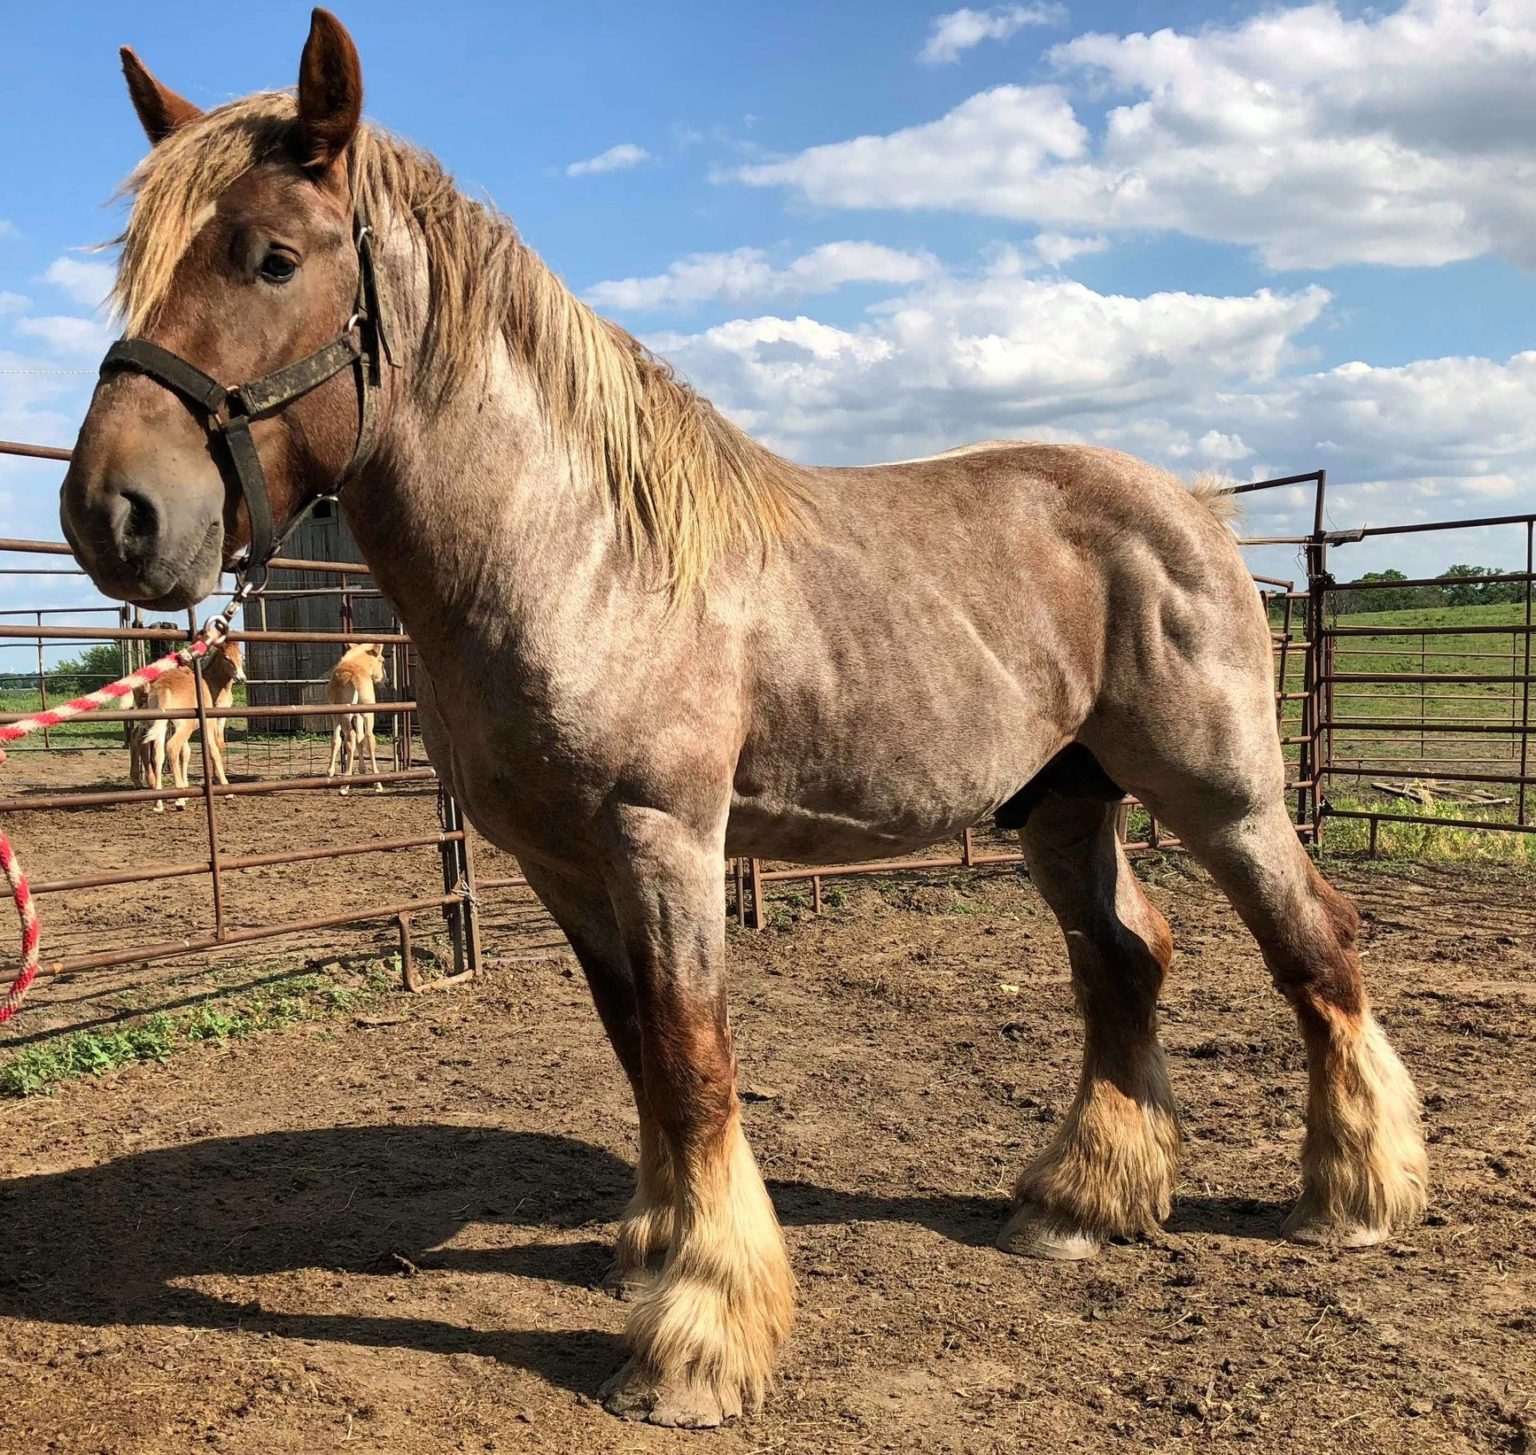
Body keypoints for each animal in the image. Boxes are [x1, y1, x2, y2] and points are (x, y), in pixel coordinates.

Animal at [325, 639, 387, 798]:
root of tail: (355, 678)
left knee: (349, 737)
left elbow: (336, 740)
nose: (385, 681)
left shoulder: (334, 715)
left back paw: (345, 785)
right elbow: (361, 740)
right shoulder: (358, 715)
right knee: (369, 737)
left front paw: (330, 772)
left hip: (345, 716)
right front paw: (362, 771)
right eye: (382, 661)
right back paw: (377, 783)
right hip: (368, 713)